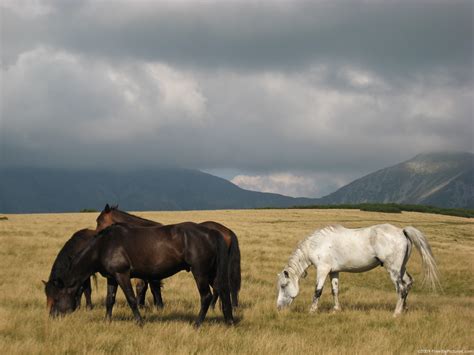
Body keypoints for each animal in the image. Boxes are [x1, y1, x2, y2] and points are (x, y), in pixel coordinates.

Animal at [44, 222, 233, 328]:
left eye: (57, 297)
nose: (52, 316)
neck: (103, 245)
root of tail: (212, 233)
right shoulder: (112, 278)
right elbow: (109, 300)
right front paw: (107, 321)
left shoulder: (122, 275)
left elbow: (132, 299)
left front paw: (140, 322)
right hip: (212, 273)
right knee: (223, 292)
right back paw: (229, 321)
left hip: (200, 273)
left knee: (206, 297)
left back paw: (197, 324)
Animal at [96, 204, 241, 310]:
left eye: (99, 221)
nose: (97, 236)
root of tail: (227, 231)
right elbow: (150, 288)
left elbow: (146, 288)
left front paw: (152, 306)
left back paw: (212, 307)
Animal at [276, 224, 442, 318]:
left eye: (283, 286)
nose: (279, 308)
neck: (316, 244)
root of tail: (402, 231)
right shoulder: (334, 272)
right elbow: (335, 291)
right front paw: (336, 309)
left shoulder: (323, 270)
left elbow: (318, 291)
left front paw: (312, 310)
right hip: (401, 269)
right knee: (407, 284)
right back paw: (404, 309)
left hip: (393, 270)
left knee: (401, 288)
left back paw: (396, 313)